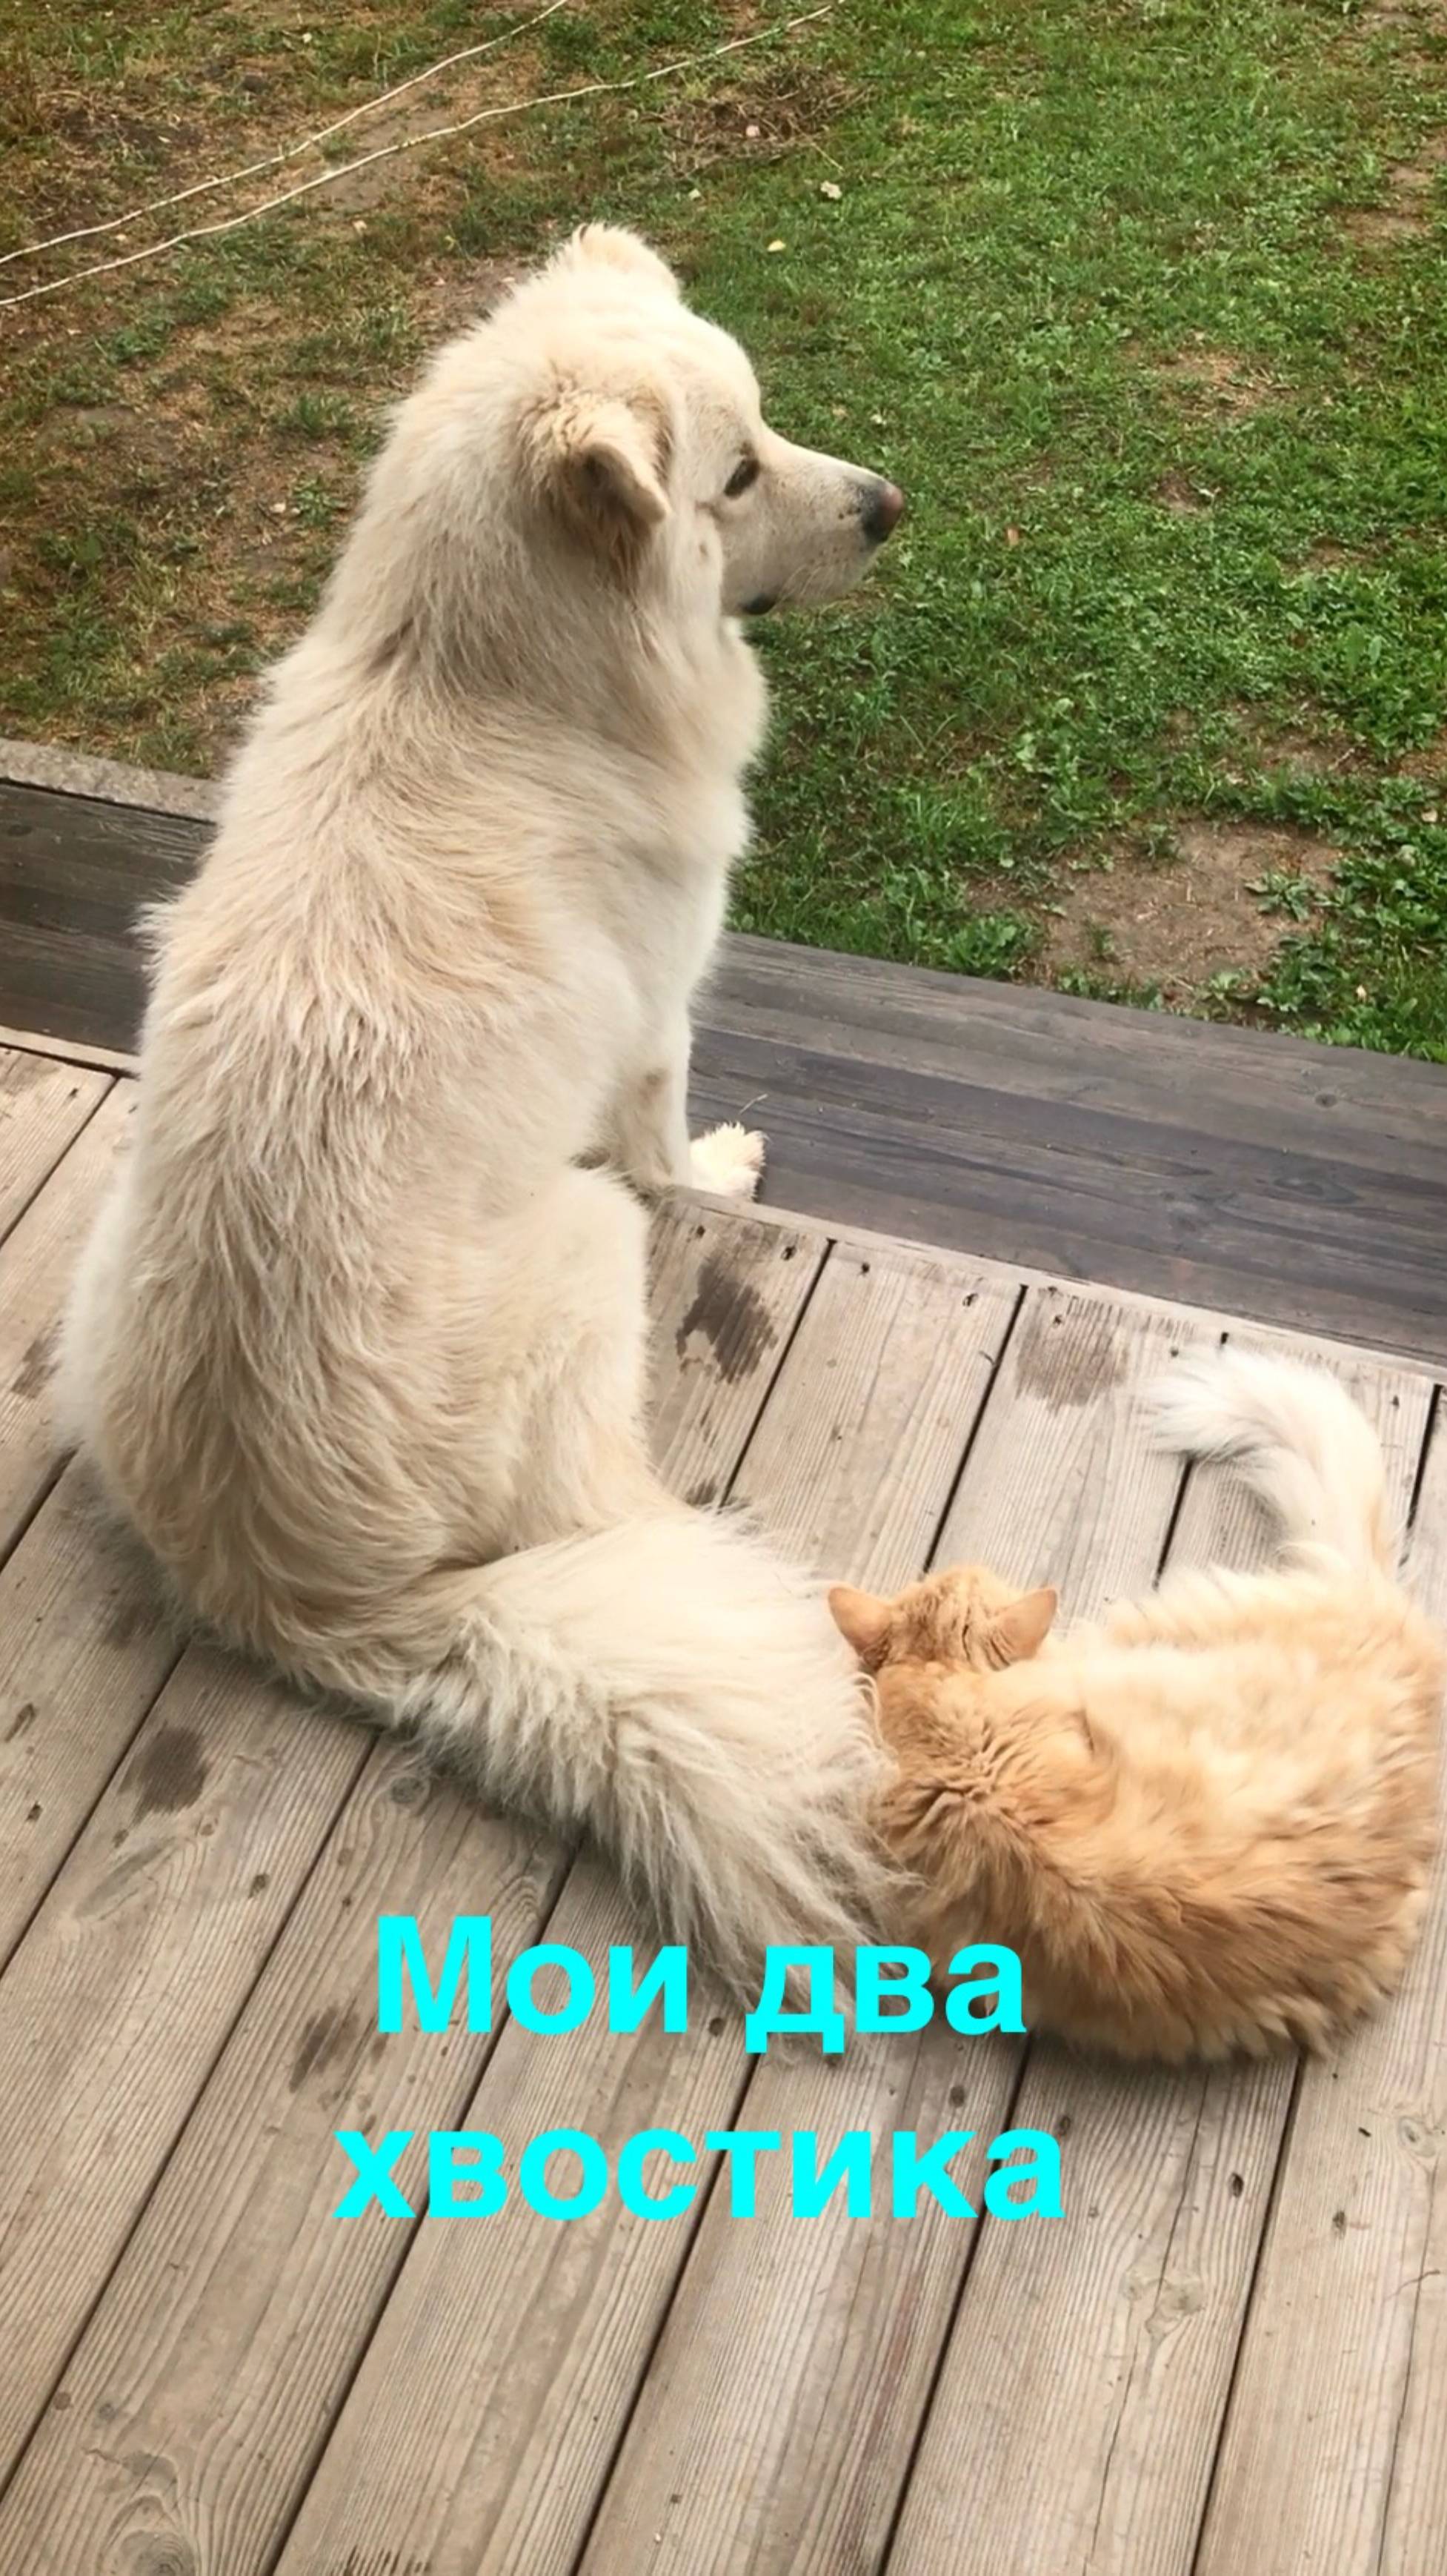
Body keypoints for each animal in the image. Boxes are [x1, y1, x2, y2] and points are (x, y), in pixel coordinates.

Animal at [58, 225, 905, 1989]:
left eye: (766, 434)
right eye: (736, 472)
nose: (888, 504)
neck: (468, 682)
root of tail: (300, 1592)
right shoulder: (656, 1029)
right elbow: (675, 1147)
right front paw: (728, 1167)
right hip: (581, 1245)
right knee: (602, 1501)